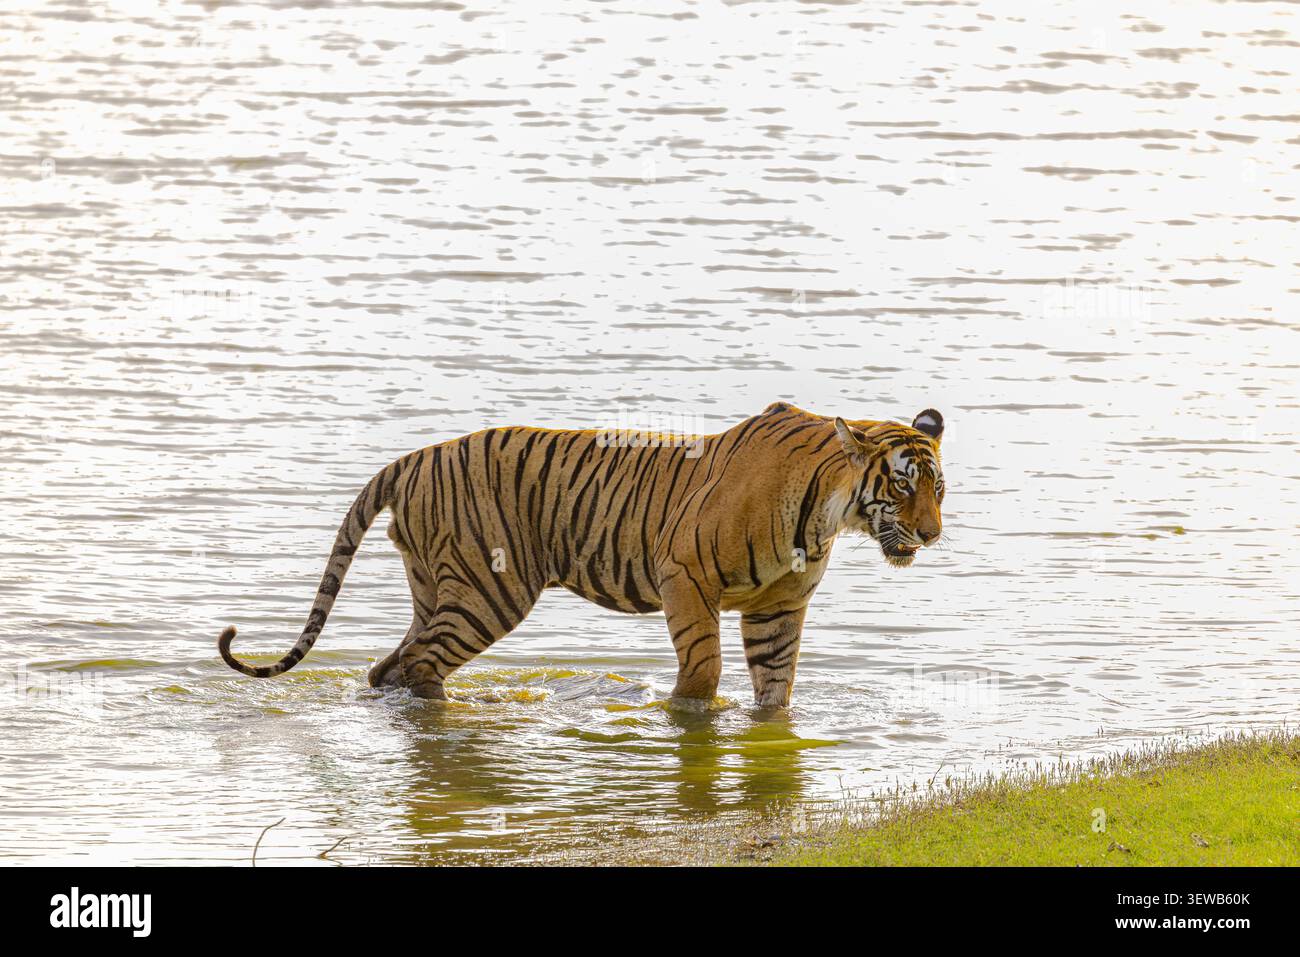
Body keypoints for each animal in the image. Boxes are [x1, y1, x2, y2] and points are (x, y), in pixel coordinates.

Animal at [218, 401, 946, 706]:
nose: (933, 534)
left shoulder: (778, 607)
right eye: (903, 485)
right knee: (419, 663)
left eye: (938, 488)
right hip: (490, 591)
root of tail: (413, 457)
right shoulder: (685, 577)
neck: (830, 510)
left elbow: (776, 687)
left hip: (440, 585)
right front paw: (689, 716)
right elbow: (704, 669)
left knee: (387, 665)